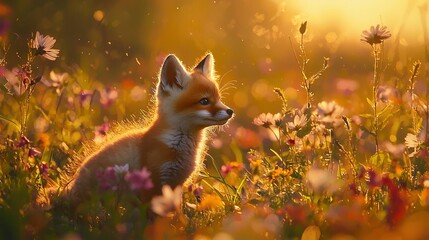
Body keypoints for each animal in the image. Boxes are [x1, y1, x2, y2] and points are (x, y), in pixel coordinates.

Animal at [61, 53, 232, 204]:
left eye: (218, 99)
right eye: (204, 101)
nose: (230, 111)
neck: (180, 146)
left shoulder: (176, 185)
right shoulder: (153, 182)